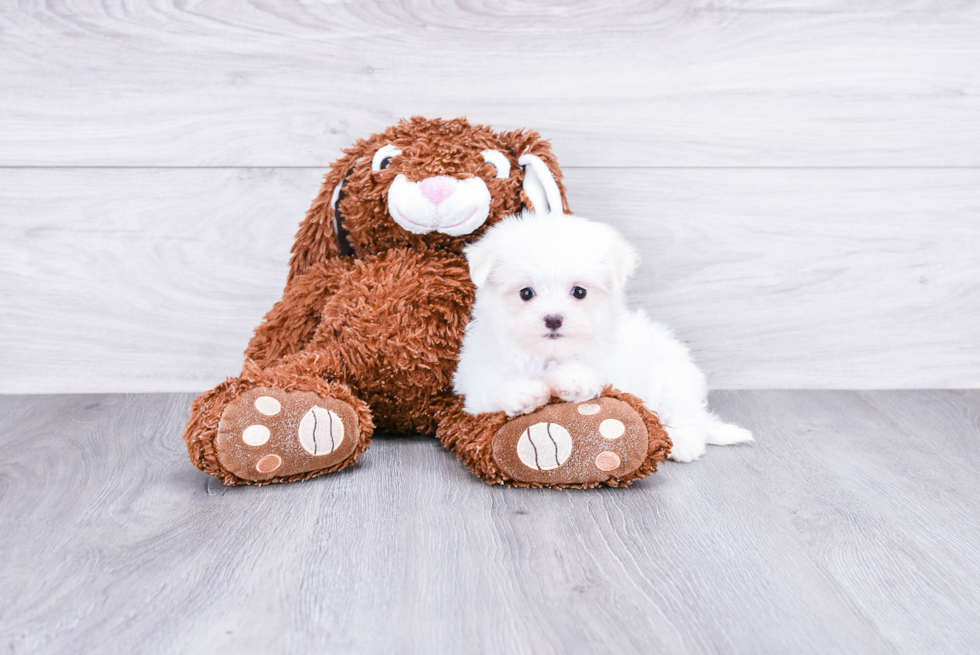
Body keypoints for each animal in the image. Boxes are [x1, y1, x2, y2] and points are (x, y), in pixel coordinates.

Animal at [456, 210, 756, 462]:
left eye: (579, 292)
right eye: (526, 293)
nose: (553, 319)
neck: (550, 354)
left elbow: (594, 376)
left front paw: (572, 380)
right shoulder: (478, 379)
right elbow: (493, 388)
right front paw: (523, 393)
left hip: (673, 380)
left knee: (686, 416)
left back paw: (682, 442)